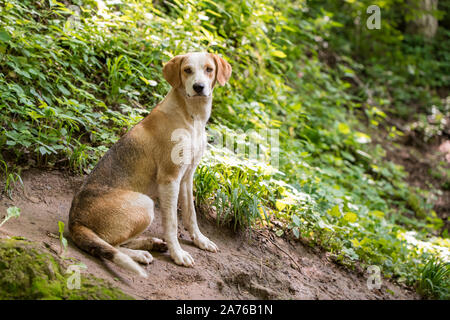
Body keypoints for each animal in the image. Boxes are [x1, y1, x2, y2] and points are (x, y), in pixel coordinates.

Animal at [70, 52, 232, 278]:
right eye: (187, 70)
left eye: (209, 69)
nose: (199, 87)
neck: (192, 116)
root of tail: (74, 221)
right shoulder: (170, 179)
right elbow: (172, 223)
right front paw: (178, 254)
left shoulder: (187, 177)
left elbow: (191, 215)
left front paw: (200, 241)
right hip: (145, 204)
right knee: (111, 246)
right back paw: (139, 255)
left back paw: (151, 244)